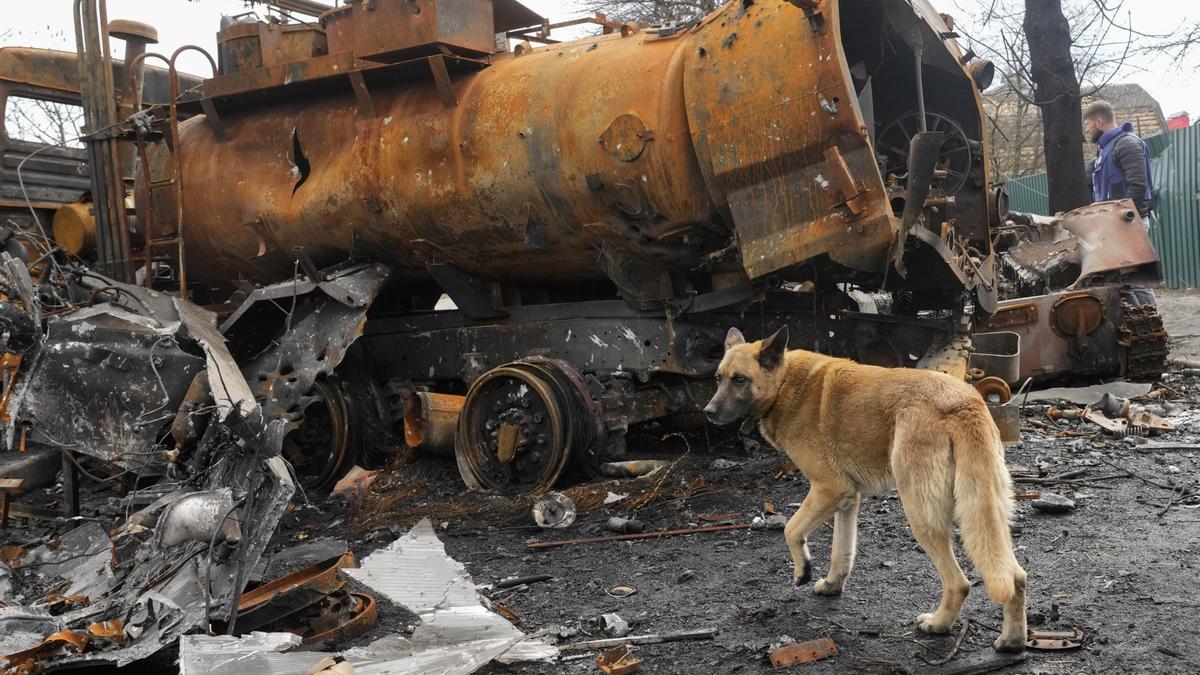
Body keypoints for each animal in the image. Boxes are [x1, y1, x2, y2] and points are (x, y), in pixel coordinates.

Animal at [700, 326, 1032, 653]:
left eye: (740, 379)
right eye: (718, 378)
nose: (708, 411)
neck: (784, 382)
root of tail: (963, 404)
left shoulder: (828, 489)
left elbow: (790, 529)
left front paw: (803, 570)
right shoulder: (847, 499)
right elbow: (841, 551)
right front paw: (832, 584)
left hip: (922, 515)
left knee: (959, 583)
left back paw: (938, 625)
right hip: (989, 511)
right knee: (1015, 577)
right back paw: (1012, 641)